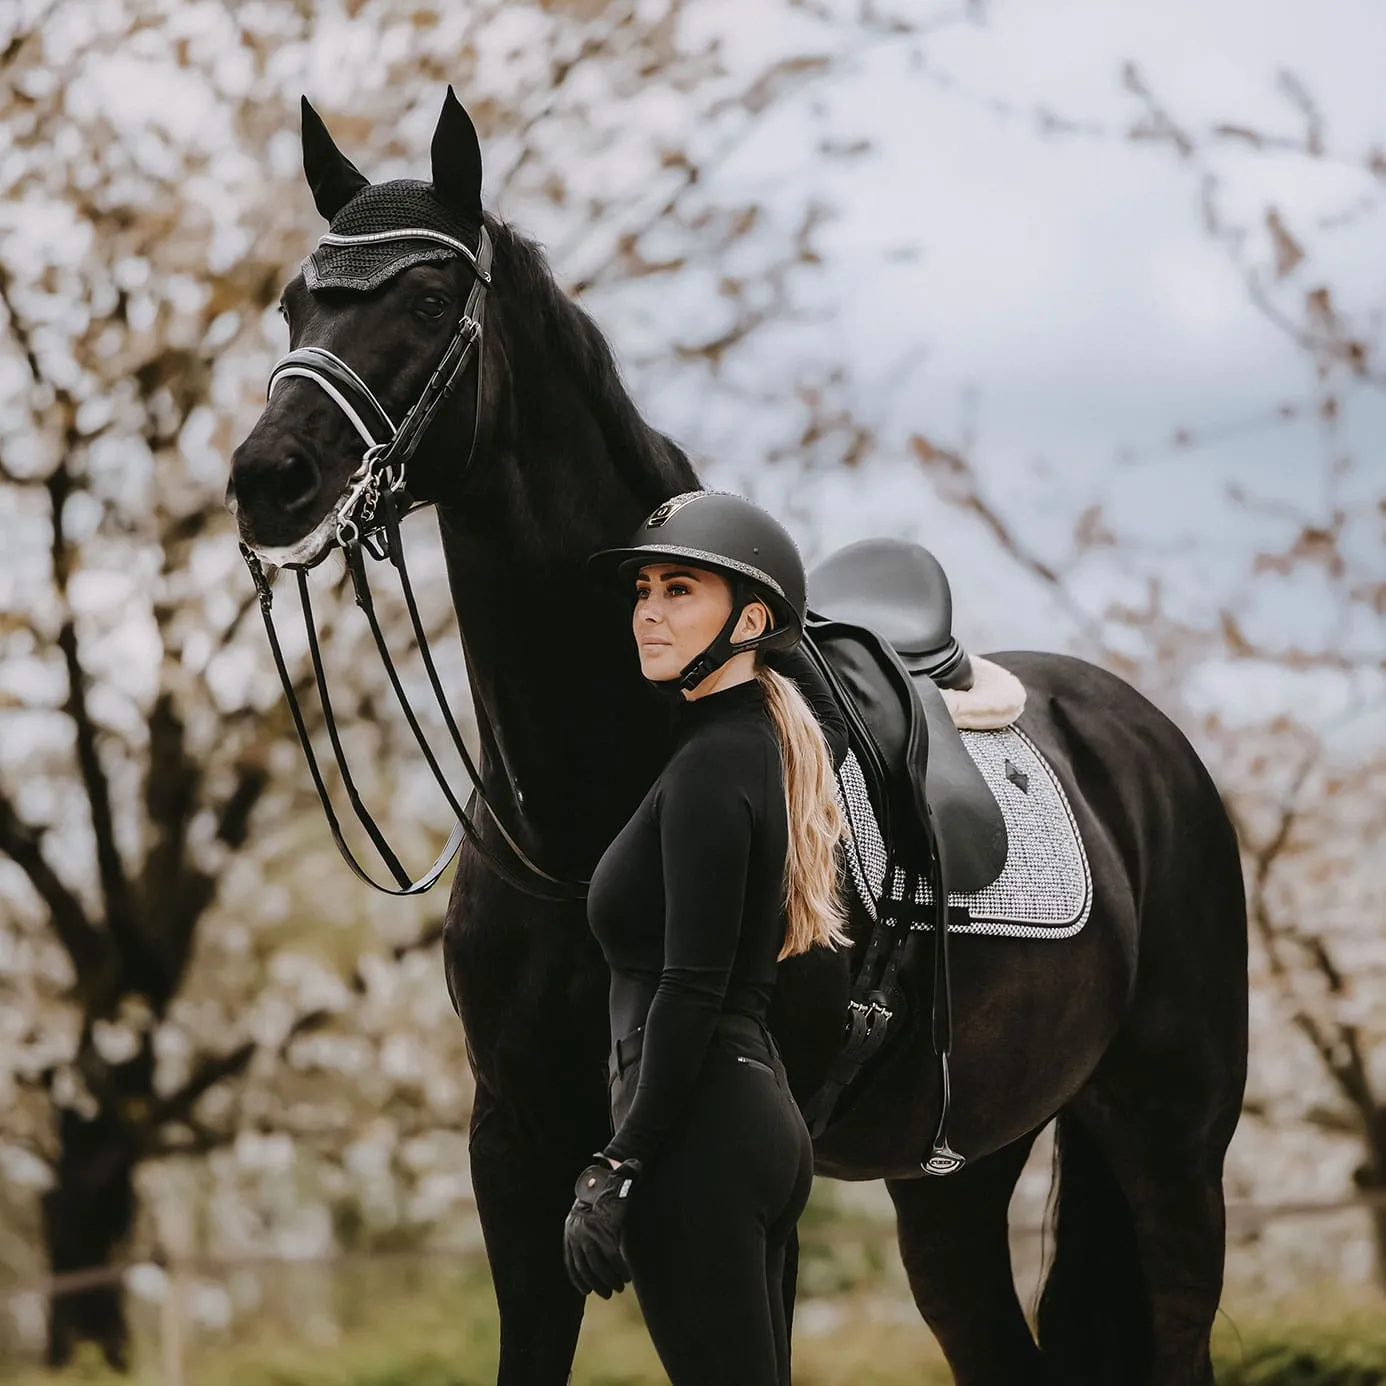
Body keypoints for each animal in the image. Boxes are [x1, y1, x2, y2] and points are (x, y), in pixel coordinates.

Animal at [224, 92, 1247, 1380]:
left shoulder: (742, 1171)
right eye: (295, 305)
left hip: (1172, 1148)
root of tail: (1144, 743)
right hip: (955, 1178)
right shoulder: (513, 1147)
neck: (605, 791)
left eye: (421, 299)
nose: (269, 477)